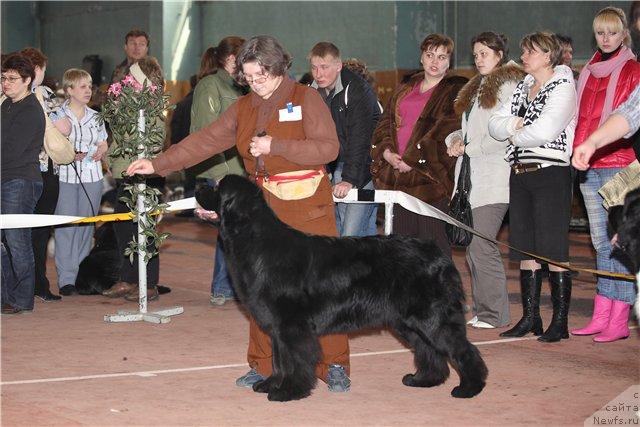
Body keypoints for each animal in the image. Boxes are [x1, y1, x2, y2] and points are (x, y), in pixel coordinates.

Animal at [198, 176, 488, 402]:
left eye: (218, 186)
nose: (200, 182)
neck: (254, 240)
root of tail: (440, 254)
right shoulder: (278, 327)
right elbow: (279, 360)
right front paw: (271, 384)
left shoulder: (292, 326)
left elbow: (295, 359)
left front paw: (289, 391)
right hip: (408, 321)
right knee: (429, 350)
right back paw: (424, 380)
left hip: (431, 317)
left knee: (462, 350)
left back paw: (469, 388)